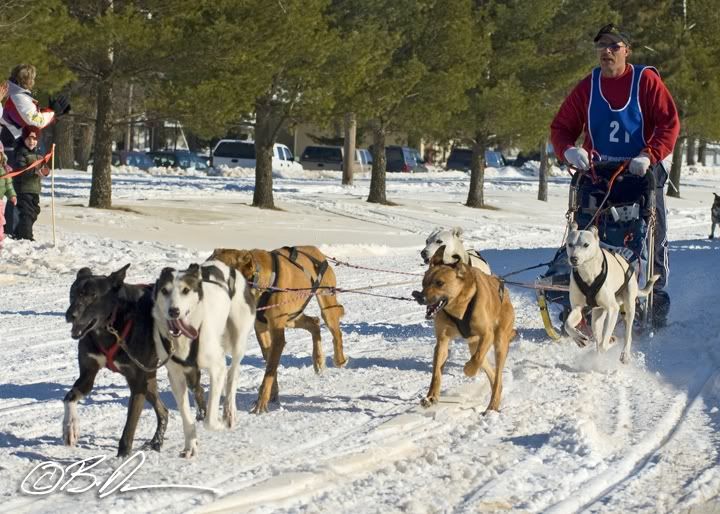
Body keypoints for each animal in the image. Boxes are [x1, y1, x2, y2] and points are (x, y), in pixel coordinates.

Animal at [63, 264, 207, 456]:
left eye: (92, 295)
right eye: (73, 293)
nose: (70, 315)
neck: (111, 327)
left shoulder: (137, 383)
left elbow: (129, 427)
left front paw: (123, 457)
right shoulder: (88, 373)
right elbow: (69, 397)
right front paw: (69, 428)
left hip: (181, 371)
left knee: (198, 390)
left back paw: (202, 415)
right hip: (150, 379)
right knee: (164, 411)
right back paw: (156, 441)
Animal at [151, 260, 253, 456]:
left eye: (185, 290)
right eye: (165, 291)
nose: (173, 311)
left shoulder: (217, 368)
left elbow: (209, 420)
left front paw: (218, 425)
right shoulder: (176, 376)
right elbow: (186, 415)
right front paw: (191, 444)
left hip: (238, 339)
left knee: (233, 375)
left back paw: (229, 412)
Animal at [210, 245, 348, 412]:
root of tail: (317, 251)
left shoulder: (277, 333)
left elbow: (270, 369)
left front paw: (261, 402)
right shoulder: (262, 329)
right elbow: (270, 364)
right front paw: (272, 395)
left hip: (326, 306)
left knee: (336, 333)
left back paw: (339, 360)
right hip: (291, 317)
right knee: (314, 323)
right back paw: (318, 360)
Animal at [414, 246, 516, 410]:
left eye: (439, 283)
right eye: (424, 282)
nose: (419, 297)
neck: (459, 307)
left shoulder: (487, 334)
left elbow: (476, 359)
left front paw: (468, 370)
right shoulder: (442, 341)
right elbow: (436, 372)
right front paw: (431, 397)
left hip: (499, 341)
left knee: (495, 372)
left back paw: (492, 406)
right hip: (474, 344)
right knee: (493, 375)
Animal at [564, 222, 660, 362]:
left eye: (586, 244)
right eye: (570, 244)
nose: (573, 258)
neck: (588, 274)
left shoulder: (613, 309)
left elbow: (604, 344)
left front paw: (609, 343)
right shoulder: (577, 308)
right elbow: (567, 325)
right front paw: (578, 338)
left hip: (628, 307)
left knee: (627, 335)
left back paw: (624, 353)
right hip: (597, 317)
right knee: (597, 336)